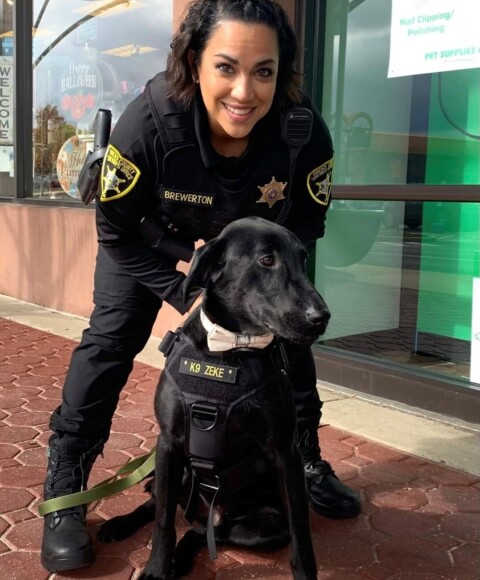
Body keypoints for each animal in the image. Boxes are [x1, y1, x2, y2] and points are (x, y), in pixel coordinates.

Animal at [97, 215, 330, 576]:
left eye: (303, 258)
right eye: (267, 260)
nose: (321, 318)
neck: (229, 349)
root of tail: (210, 512)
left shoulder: (286, 453)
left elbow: (300, 530)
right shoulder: (168, 442)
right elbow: (163, 521)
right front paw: (157, 568)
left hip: (263, 526)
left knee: (203, 533)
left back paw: (183, 556)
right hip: (177, 472)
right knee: (158, 507)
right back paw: (121, 525)